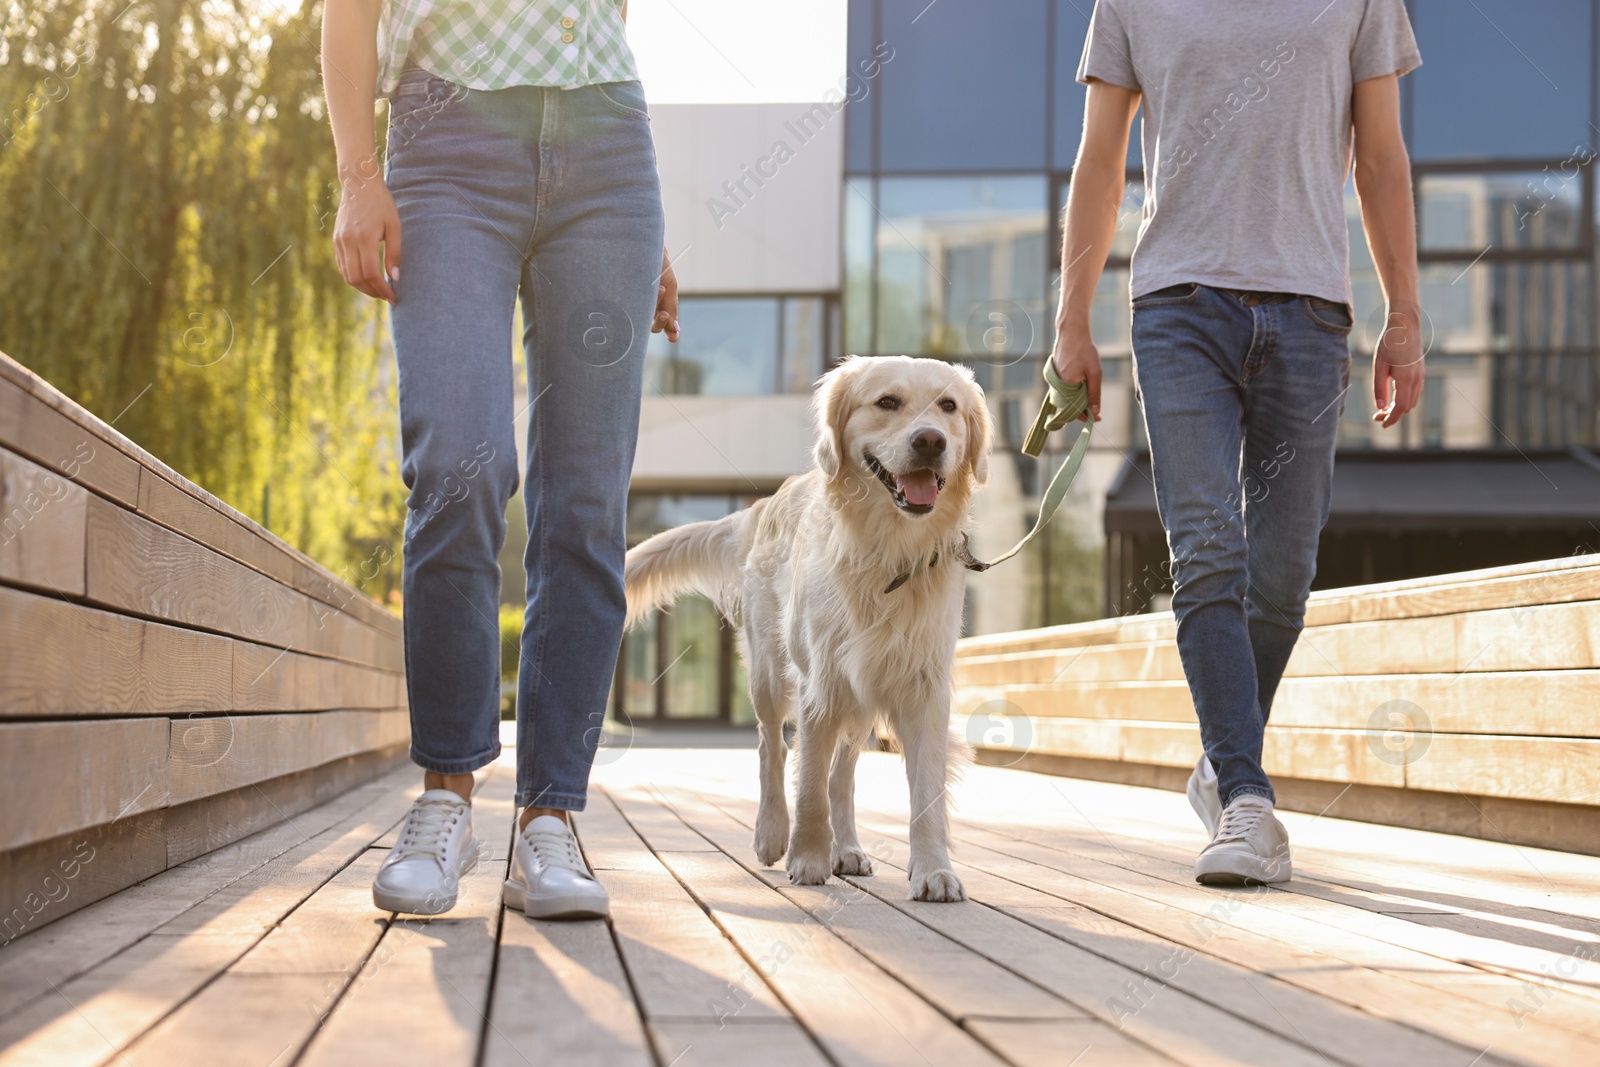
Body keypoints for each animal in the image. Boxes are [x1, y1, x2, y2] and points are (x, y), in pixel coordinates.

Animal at [620, 358, 985, 902]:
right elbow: (808, 780)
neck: (887, 554)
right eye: (887, 402)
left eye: (949, 407)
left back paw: (847, 847)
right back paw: (772, 833)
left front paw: (933, 870)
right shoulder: (821, 682)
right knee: (772, 747)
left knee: (842, 774)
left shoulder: (923, 687)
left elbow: (923, 793)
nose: (930, 441)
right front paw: (808, 858)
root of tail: (763, 506)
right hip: (770, 674)